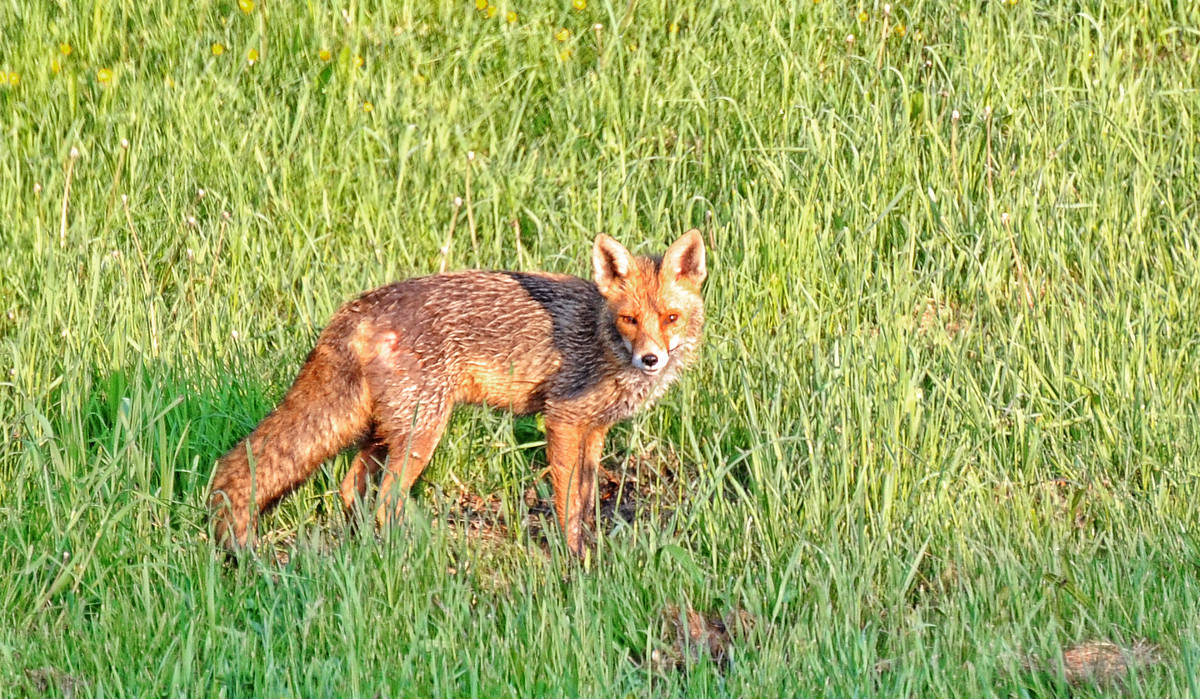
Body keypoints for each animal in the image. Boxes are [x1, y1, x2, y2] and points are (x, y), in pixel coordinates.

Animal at [208, 229, 707, 556]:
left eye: (671, 318)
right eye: (630, 320)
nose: (651, 360)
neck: (602, 340)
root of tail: (358, 306)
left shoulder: (595, 429)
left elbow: (585, 499)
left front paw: (589, 552)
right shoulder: (562, 419)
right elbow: (568, 504)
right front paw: (573, 563)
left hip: (383, 430)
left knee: (351, 489)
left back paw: (365, 555)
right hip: (422, 432)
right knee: (385, 501)